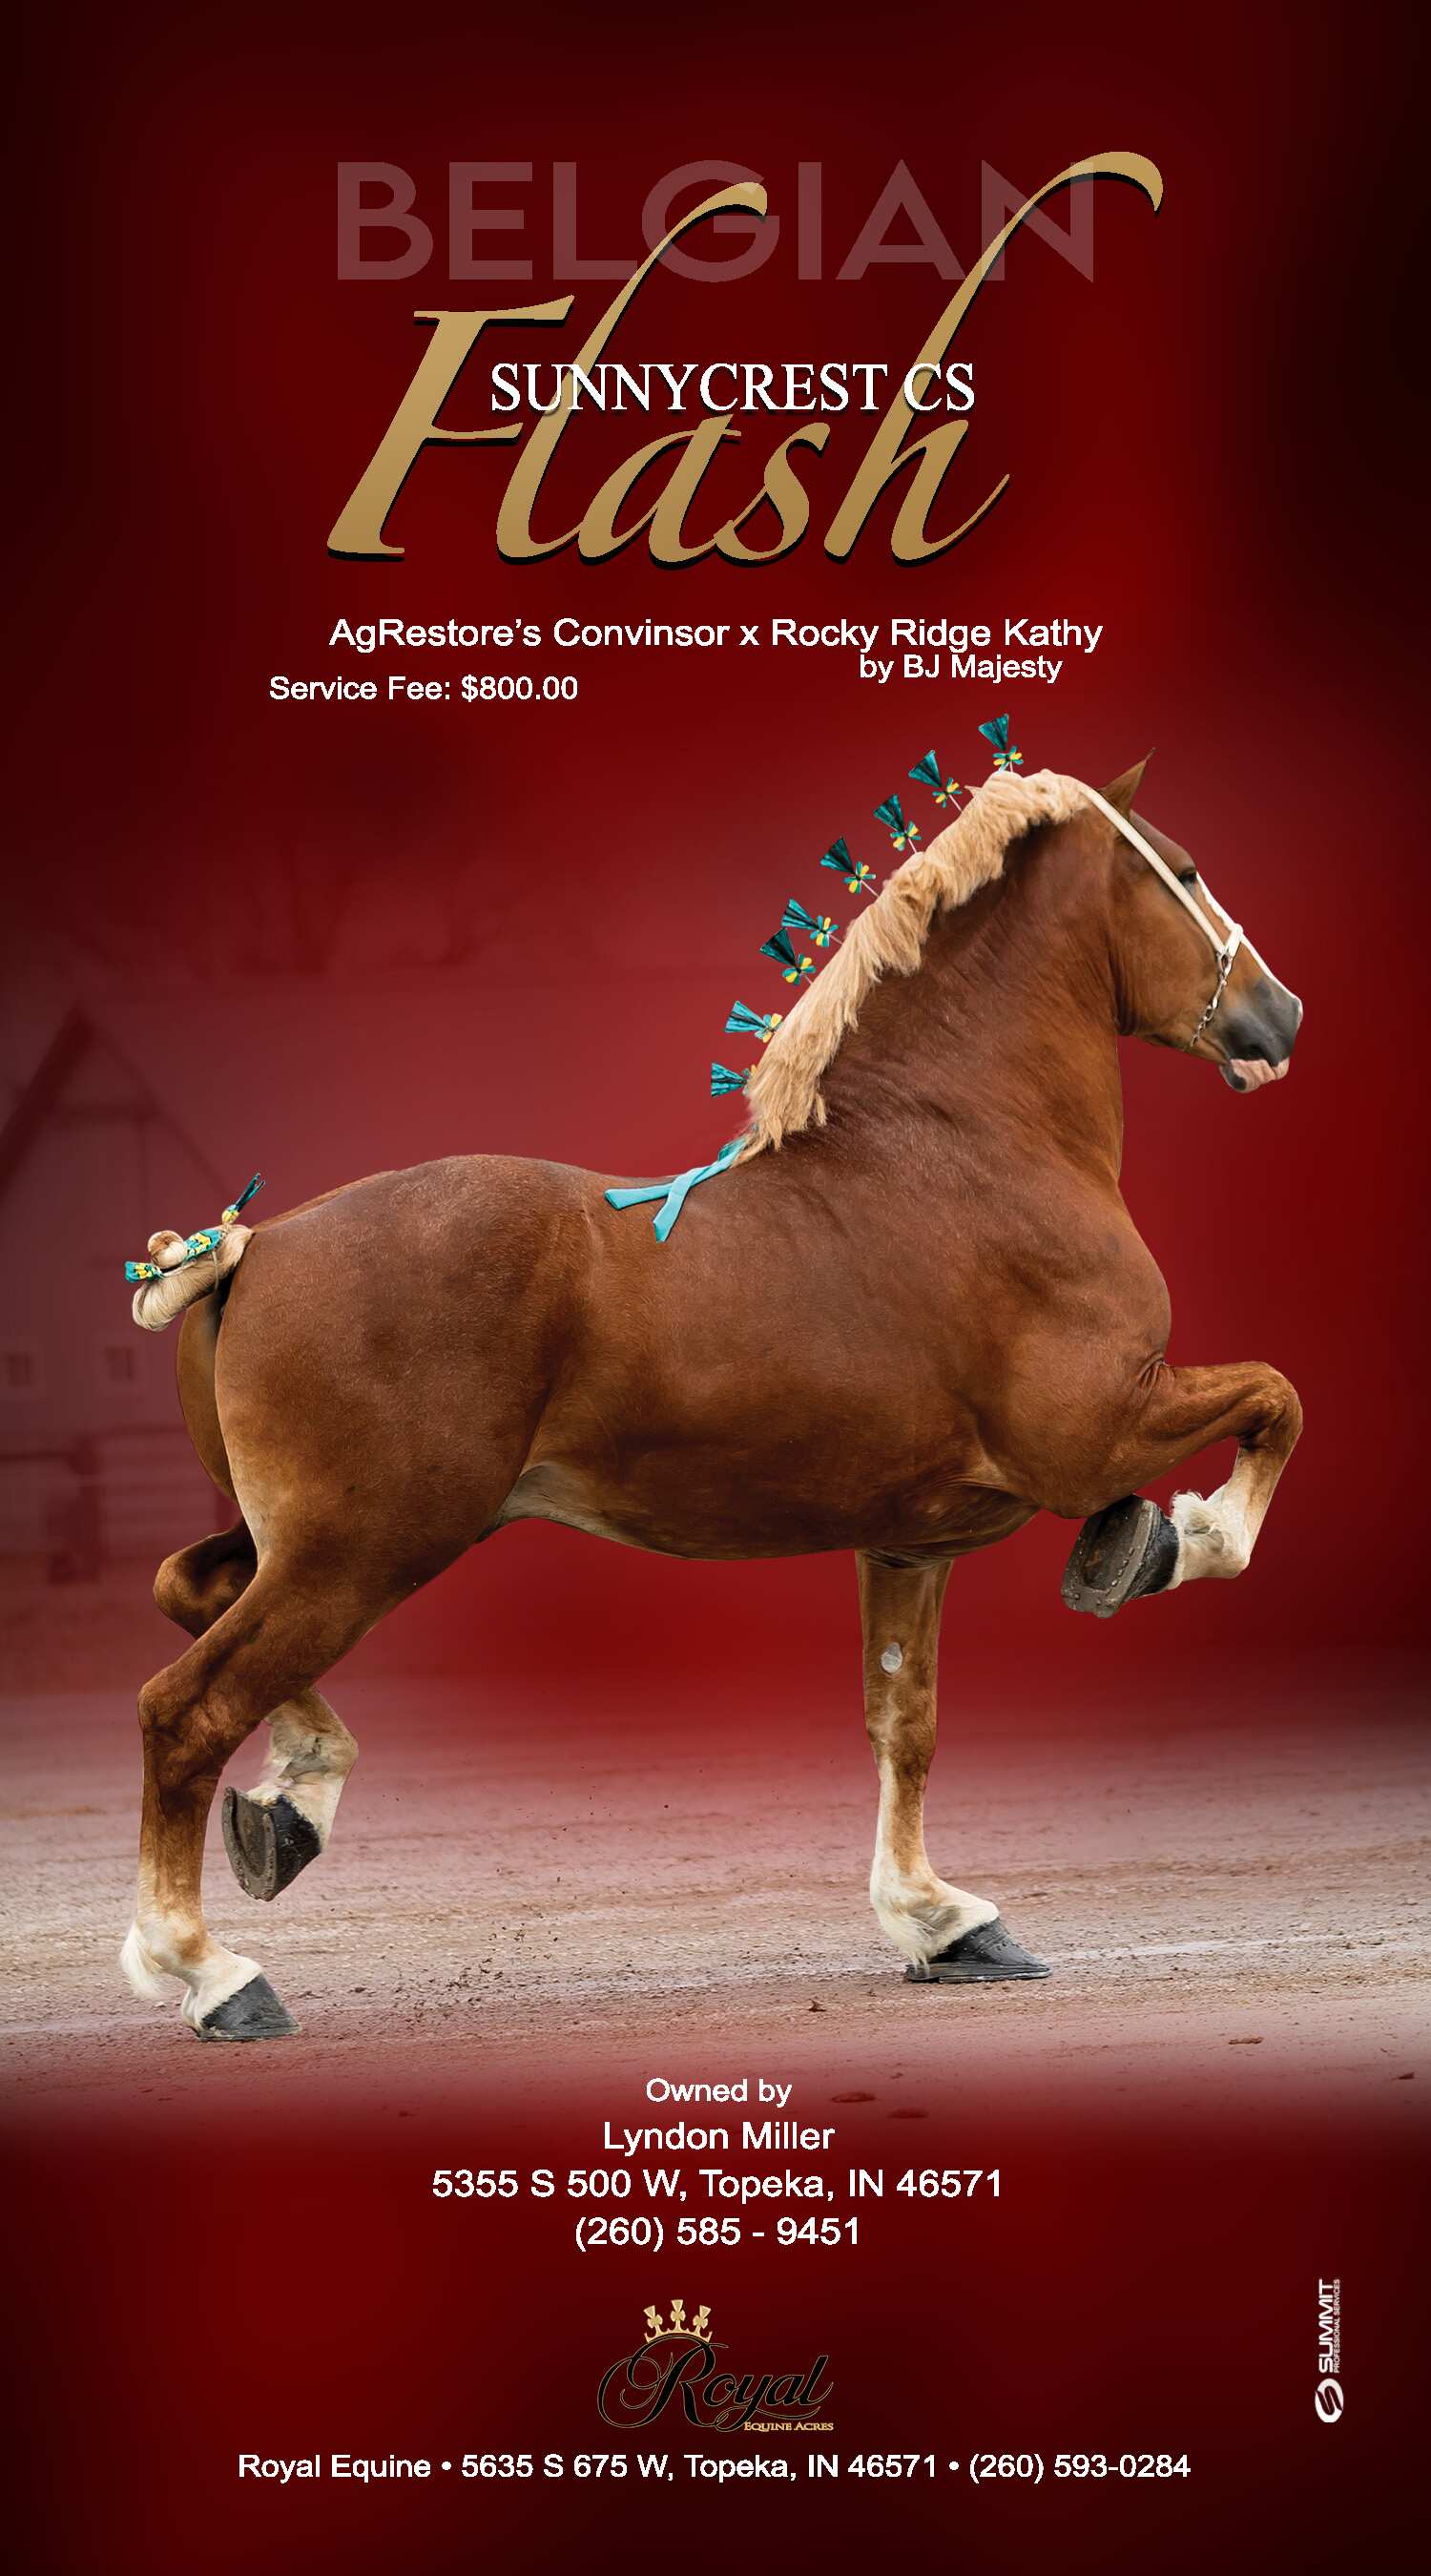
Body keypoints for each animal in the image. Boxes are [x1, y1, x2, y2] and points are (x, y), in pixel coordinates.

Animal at [118, 758, 1303, 2041]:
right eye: (1182, 869)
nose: (1280, 1015)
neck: (964, 1155)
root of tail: (251, 1249)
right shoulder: (1096, 1435)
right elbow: (1273, 1405)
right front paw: (1164, 1541)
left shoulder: (909, 1542)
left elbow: (904, 1726)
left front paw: (942, 1923)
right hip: (362, 1549)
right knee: (186, 1710)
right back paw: (211, 1970)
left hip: (306, 1542)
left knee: (190, 1589)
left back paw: (292, 1803)